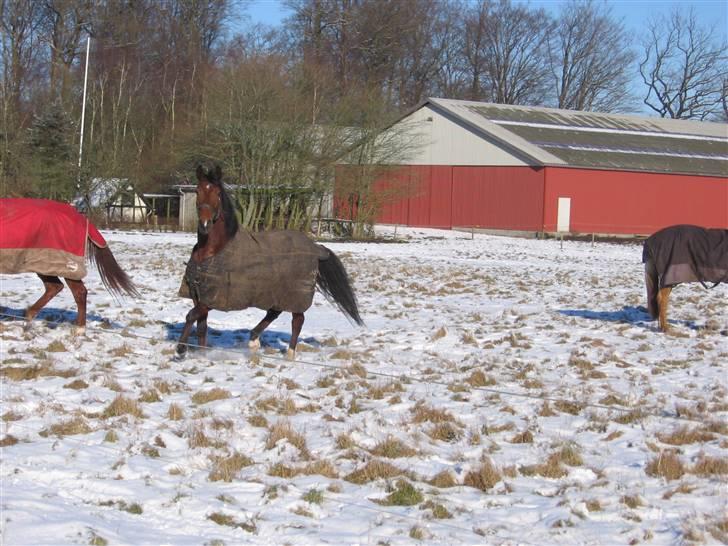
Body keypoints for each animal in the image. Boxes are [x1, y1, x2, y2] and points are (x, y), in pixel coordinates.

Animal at [0, 198, 139, 330]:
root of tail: (81, 218)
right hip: (46, 265)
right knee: (55, 287)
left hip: (63, 266)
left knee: (78, 292)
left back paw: (79, 331)